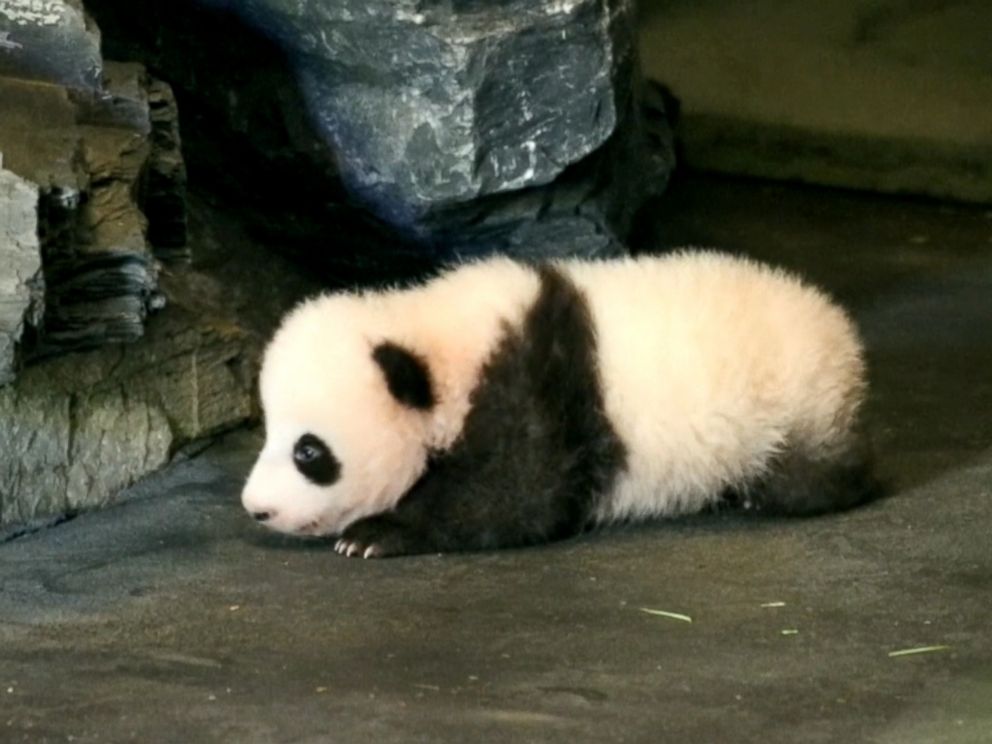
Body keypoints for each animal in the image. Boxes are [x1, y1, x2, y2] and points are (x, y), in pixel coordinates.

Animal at [242, 251, 876, 560]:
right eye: (267, 433)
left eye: (309, 452)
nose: (256, 509)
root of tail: (838, 325)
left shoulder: (532, 394)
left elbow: (512, 501)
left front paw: (375, 535)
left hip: (795, 399)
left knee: (811, 475)